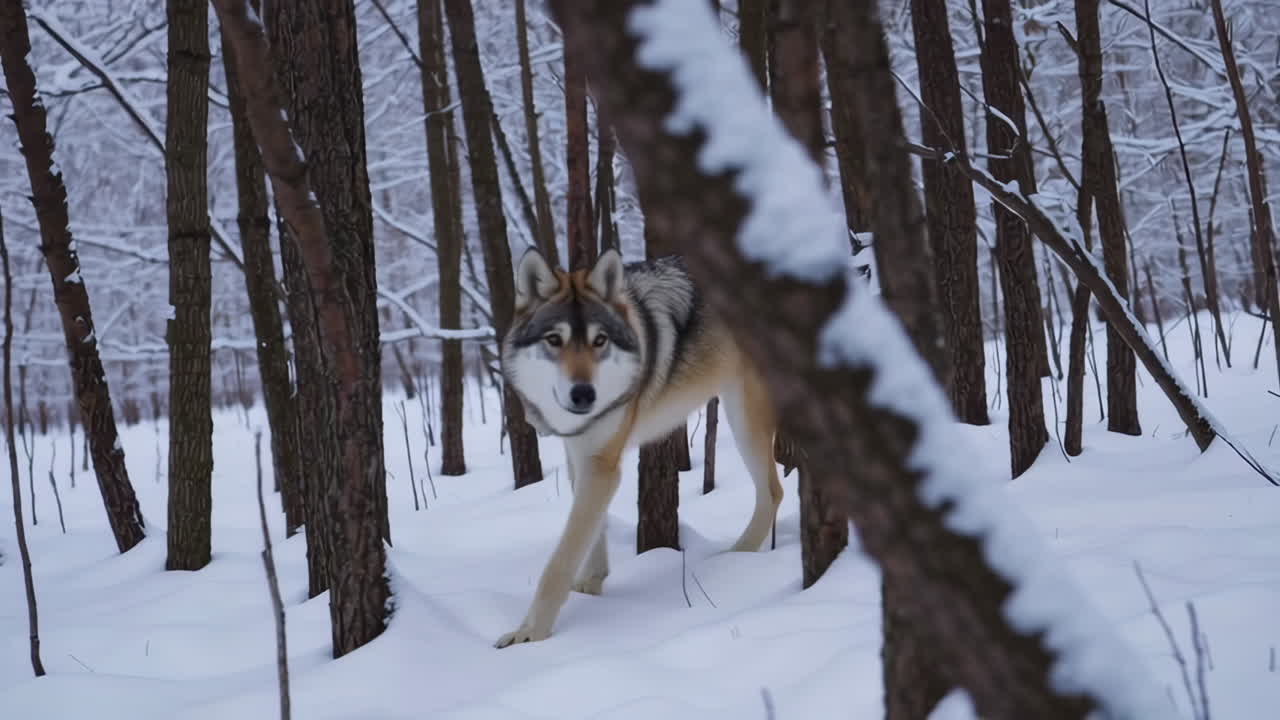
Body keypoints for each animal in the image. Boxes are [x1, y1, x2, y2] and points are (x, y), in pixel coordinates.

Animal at [494, 247, 782, 648]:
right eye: (554, 340)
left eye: (600, 341)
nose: (584, 394)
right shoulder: (582, 457)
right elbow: (591, 531)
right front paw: (591, 585)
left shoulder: (602, 465)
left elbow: (560, 560)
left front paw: (530, 635)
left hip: (744, 418)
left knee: (772, 491)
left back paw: (735, 558)